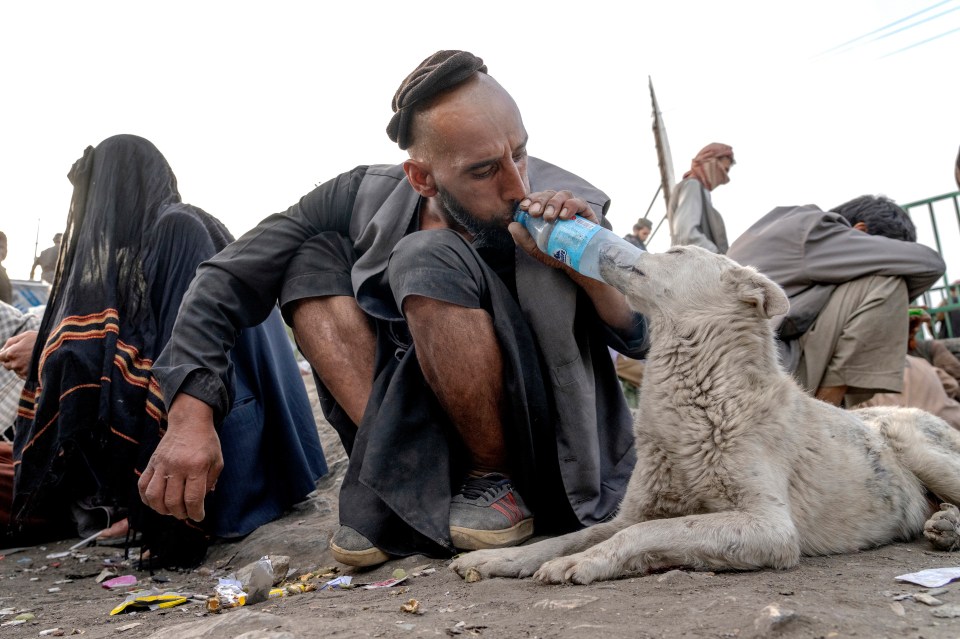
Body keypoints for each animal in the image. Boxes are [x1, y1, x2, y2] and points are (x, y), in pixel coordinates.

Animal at [450, 245, 960, 584]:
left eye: (676, 250)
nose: (609, 244)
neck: (704, 401)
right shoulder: (630, 512)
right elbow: (567, 537)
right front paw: (499, 561)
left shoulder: (770, 527)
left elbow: (656, 529)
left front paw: (585, 563)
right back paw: (945, 525)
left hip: (914, 443)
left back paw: (949, 528)